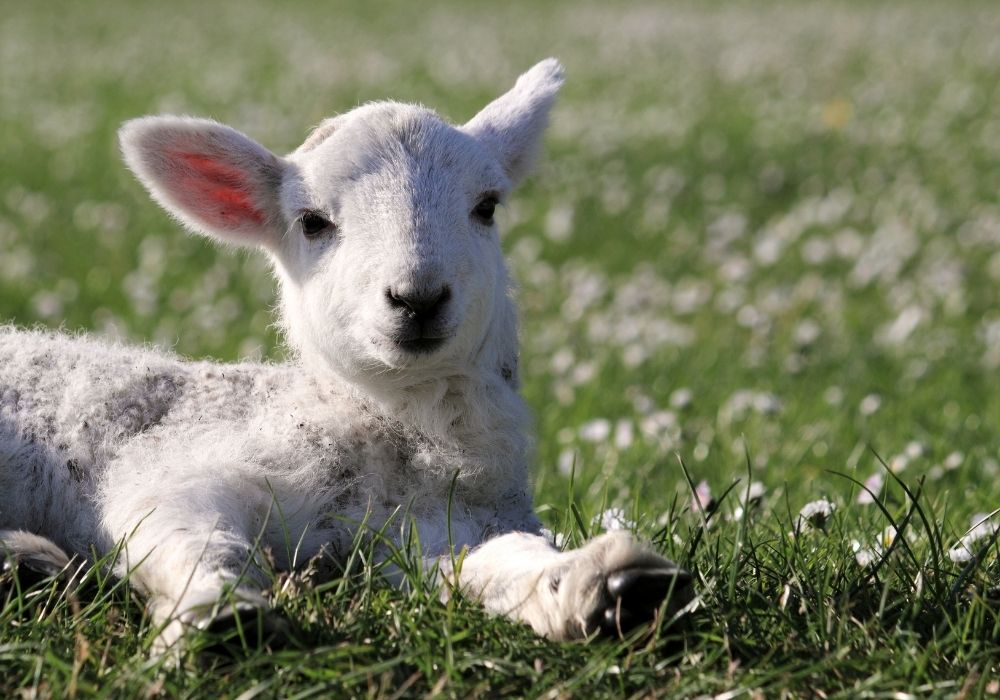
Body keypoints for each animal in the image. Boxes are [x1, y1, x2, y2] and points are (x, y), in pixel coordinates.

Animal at [0, 59, 692, 652]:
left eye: (487, 206)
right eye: (311, 222)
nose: (418, 297)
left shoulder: (440, 525)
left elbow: (498, 561)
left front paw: (605, 585)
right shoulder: (180, 468)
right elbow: (182, 533)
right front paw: (220, 615)